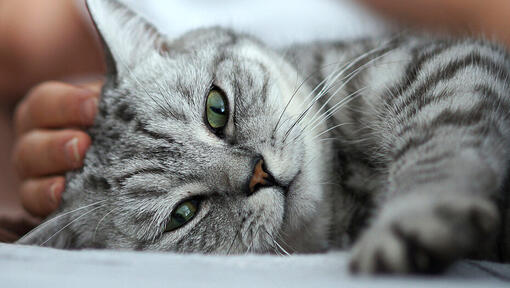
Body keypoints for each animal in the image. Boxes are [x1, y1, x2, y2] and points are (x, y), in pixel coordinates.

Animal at [15, 0, 510, 274]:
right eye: (183, 213)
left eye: (216, 109)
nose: (259, 175)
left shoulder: (446, 70)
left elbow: (438, 153)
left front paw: (411, 217)